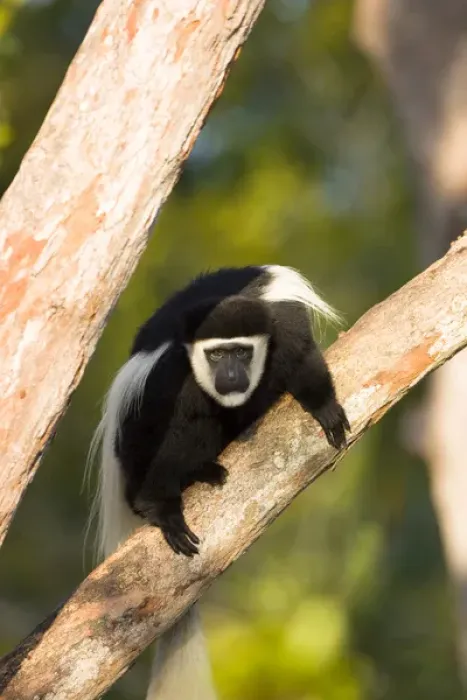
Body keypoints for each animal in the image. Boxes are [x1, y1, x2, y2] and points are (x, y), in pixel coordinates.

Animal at [90, 264, 350, 700]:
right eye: (216, 355)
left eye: (241, 352)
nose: (230, 375)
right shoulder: (162, 378)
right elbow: (161, 427)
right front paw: (161, 507)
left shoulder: (283, 323)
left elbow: (303, 357)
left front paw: (324, 406)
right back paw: (187, 481)